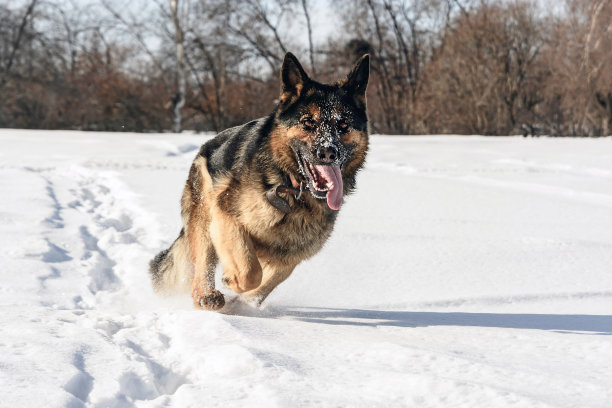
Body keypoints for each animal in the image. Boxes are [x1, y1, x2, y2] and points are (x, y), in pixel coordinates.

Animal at [149, 52, 368, 310]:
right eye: (307, 123)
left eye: (343, 125)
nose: (328, 152)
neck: (290, 186)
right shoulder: (226, 214)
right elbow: (250, 270)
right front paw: (232, 281)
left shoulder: (291, 255)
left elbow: (265, 283)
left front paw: (244, 303)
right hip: (205, 215)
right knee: (204, 262)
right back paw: (206, 294)